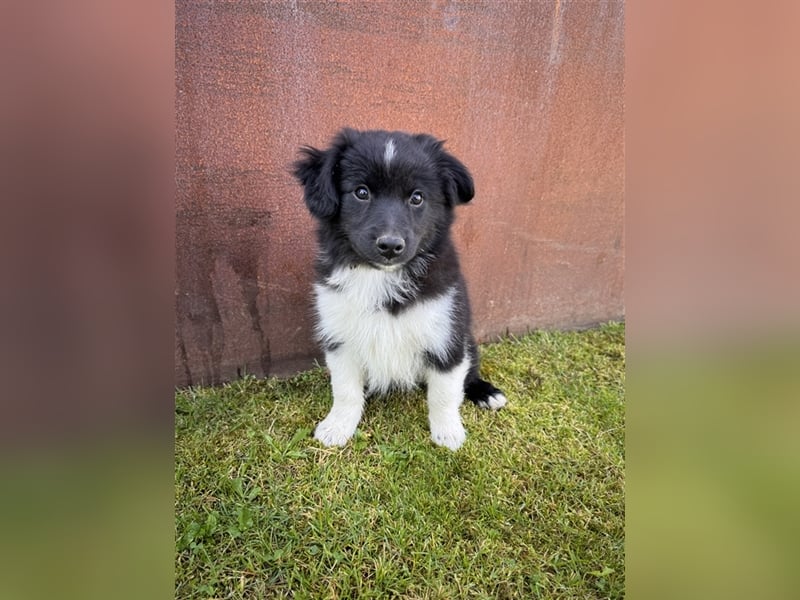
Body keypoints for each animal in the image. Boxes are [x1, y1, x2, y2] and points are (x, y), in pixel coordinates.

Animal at [294, 127, 506, 450]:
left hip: (467, 339)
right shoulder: (339, 335)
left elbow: (444, 392)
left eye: (417, 198)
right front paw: (337, 426)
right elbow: (345, 390)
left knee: (468, 373)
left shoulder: (446, 335)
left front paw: (448, 433)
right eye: (361, 192)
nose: (391, 245)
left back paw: (486, 393)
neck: (380, 277)